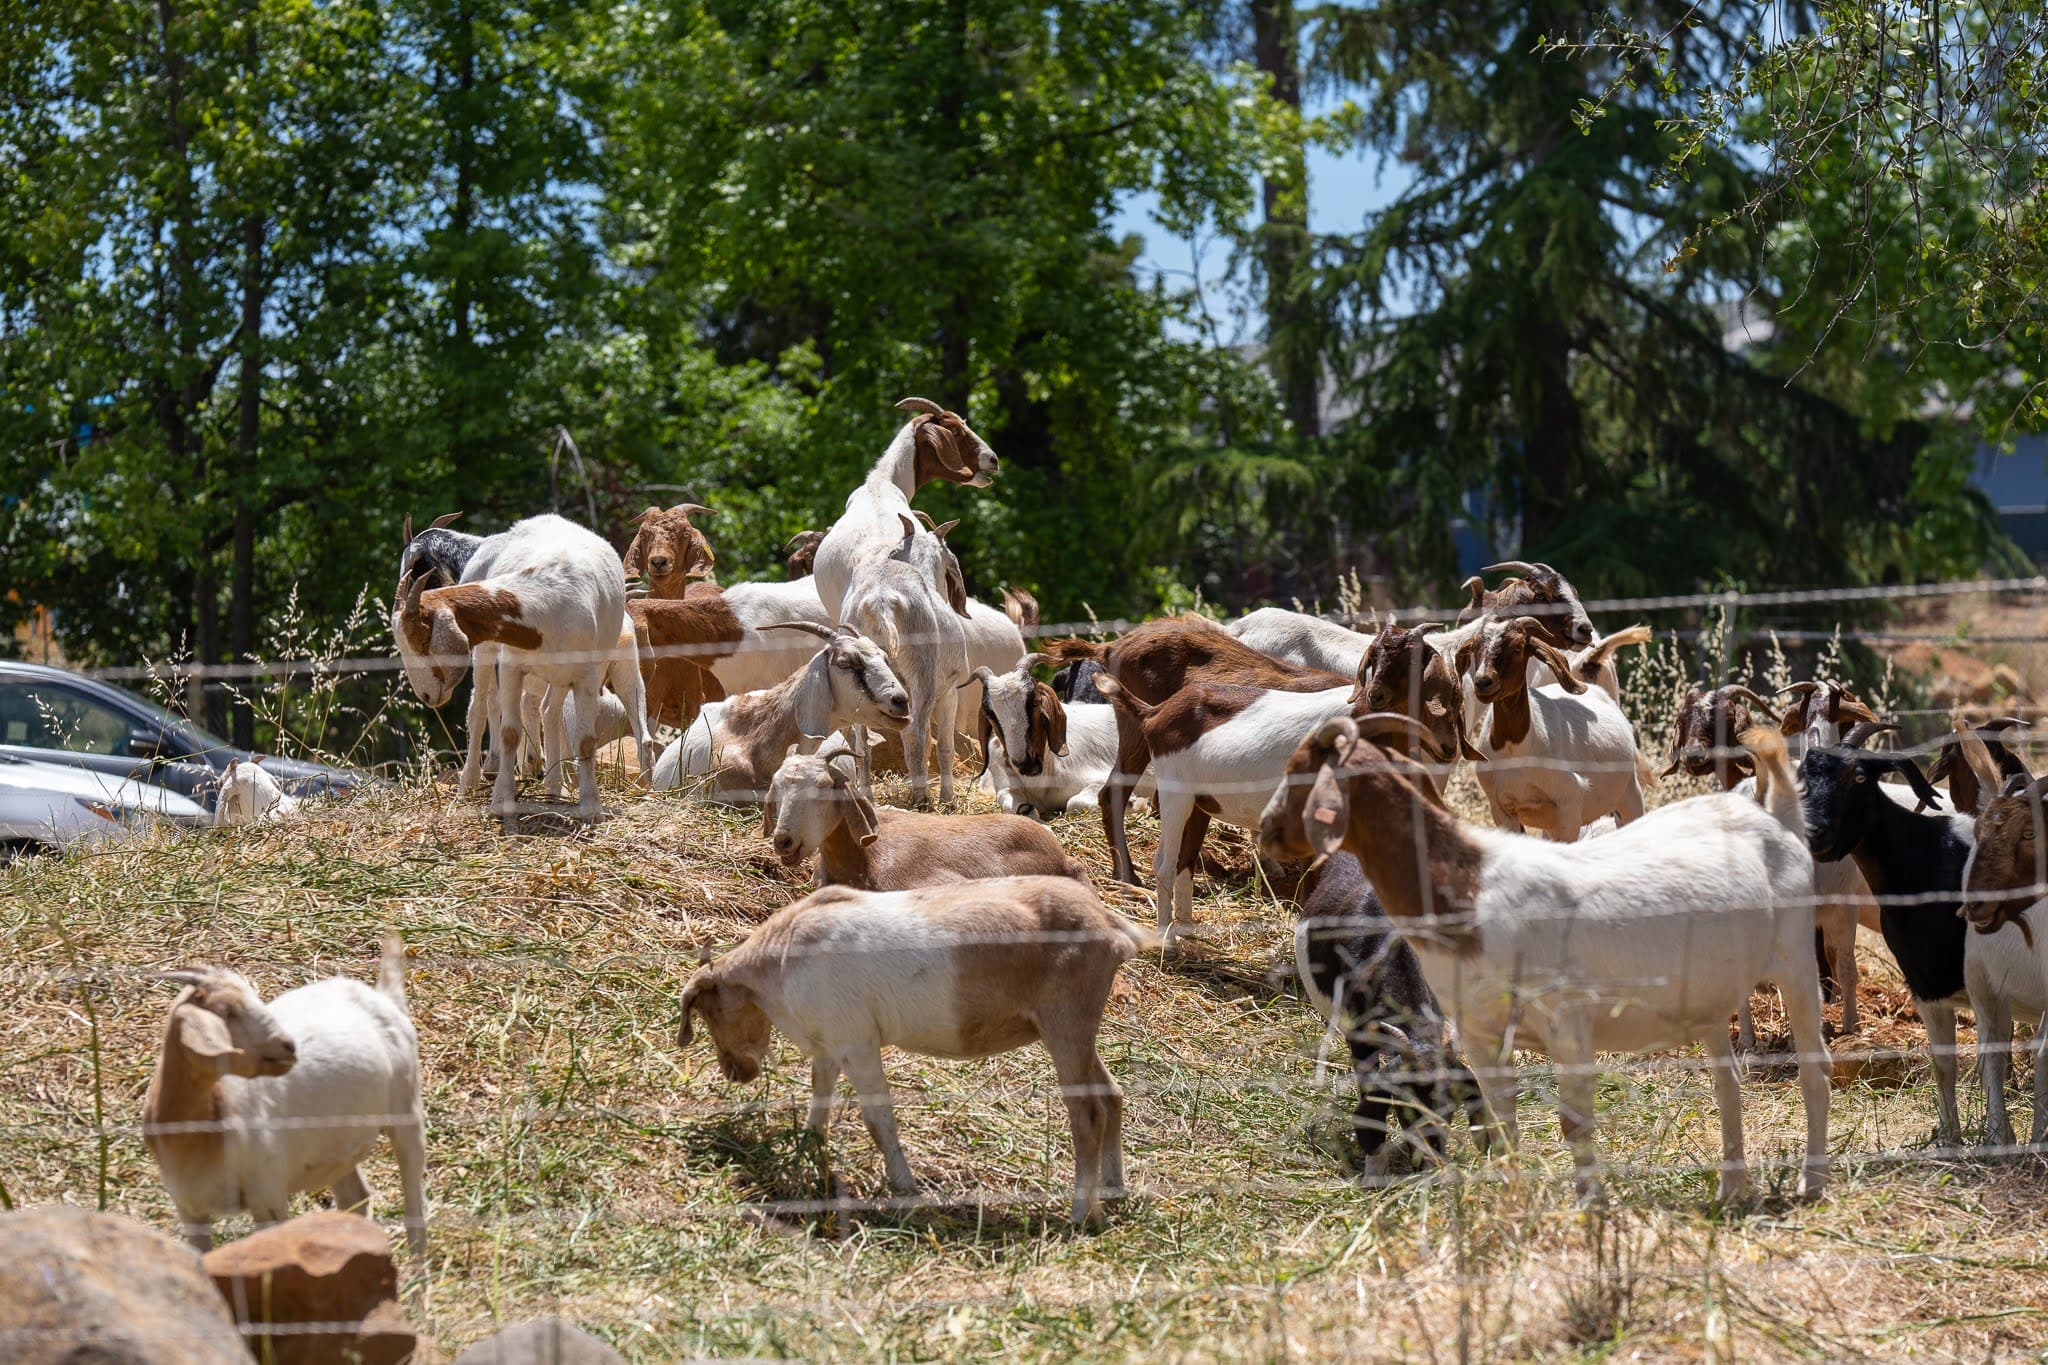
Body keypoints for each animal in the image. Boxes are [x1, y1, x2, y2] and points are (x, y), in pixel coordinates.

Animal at [143, 938, 426, 1252]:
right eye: (228, 1013)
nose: (288, 1046)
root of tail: (383, 997)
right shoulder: (188, 1208)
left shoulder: (267, 1194)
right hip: (336, 1147)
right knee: (355, 1197)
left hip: (406, 1107)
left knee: (414, 1196)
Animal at [678, 876, 1148, 1224]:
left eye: (707, 1012)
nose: (735, 1071)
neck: (780, 961)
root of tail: (1110, 924)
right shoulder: (831, 1043)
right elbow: (819, 1100)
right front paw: (808, 1147)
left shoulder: (857, 1042)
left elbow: (877, 1119)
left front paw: (904, 1188)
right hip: (1076, 1029)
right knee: (1112, 1094)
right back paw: (1113, 1189)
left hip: (1066, 1021)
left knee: (1088, 1113)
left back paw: (1083, 1212)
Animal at [1260, 715, 1830, 1205]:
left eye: (1300, 771)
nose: (1267, 831)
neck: (1473, 886)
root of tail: (1777, 815)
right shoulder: (1478, 1029)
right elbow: (1502, 1116)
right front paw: (1512, 1200)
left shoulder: (1566, 1019)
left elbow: (1573, 1121)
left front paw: (1590, 1206)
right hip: (1709, 997)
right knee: (1726, 1085)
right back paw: (1731, 1189)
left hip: (1797, 959)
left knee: (1813, 1067)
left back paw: (1812, 1182)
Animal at [1457, 615, 1648, 840]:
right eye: (1475, 647)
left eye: (1518, 647)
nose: (1483, 682)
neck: (1516, 747)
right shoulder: (1501, 811)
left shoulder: (1569, 805)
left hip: (1629, 795)